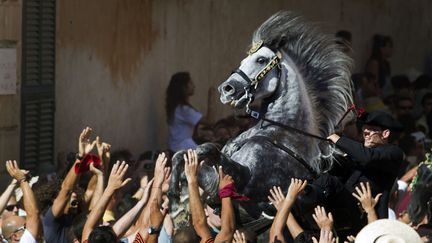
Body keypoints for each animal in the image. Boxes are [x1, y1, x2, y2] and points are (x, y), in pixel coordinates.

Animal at [169, 11, 354, 235]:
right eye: (243, 60)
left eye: (261, 59)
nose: (226, 89)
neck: (279, 131)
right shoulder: (215, 180)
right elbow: (184, 154)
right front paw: (174, 199)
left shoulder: (246, 182)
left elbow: (208, 148)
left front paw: (175, 201)